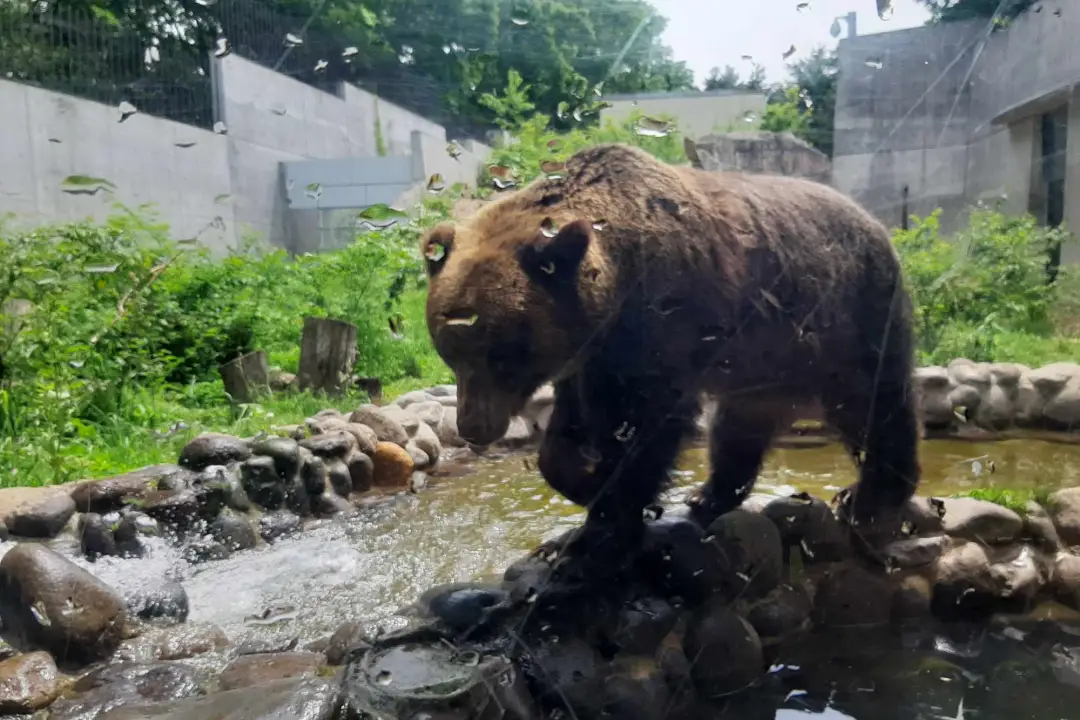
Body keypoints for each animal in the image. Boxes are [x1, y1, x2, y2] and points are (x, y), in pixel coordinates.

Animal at [421, 140, 920, 578]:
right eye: (450, 350)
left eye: (503, 353)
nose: (474, 427)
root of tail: (877, 223)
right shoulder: (590, 357)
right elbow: (571, 425)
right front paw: (581, 481)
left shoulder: (660, 327)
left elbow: (646, 428)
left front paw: (597, 533)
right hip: (763, 364)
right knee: (737, 431)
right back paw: (708, 497)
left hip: (849, 317)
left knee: (875, 406)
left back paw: (872, 497)